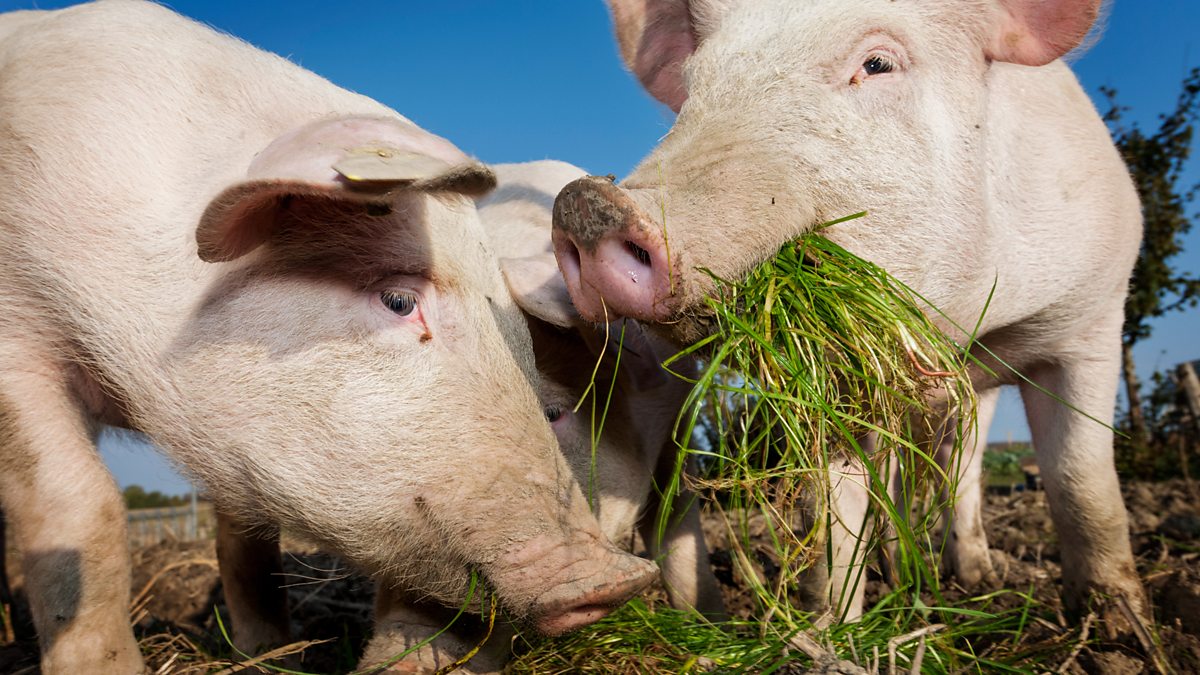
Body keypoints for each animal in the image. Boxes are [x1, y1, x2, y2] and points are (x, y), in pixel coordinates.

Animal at [0, 2, 657, 667]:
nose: (616, 579)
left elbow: (245, 532)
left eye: (518, 335)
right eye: (399, 300)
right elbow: (82, 511)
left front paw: (271, 654)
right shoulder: (15, 345)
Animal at [214, 159, 720, 667]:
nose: (405, 661)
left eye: (551, 412)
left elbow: (677, 522)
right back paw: (263, 653)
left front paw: (706, 628)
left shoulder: (677, 418)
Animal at [549, 0, 1147, 629]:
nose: (589, 204)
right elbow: (833, 511)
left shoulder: (1092, 317)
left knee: (965, 466)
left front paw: (1121, 627)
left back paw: (974, 578)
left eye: (878, 63)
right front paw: (831, 629)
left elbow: (1080, 478)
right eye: (693, 87)